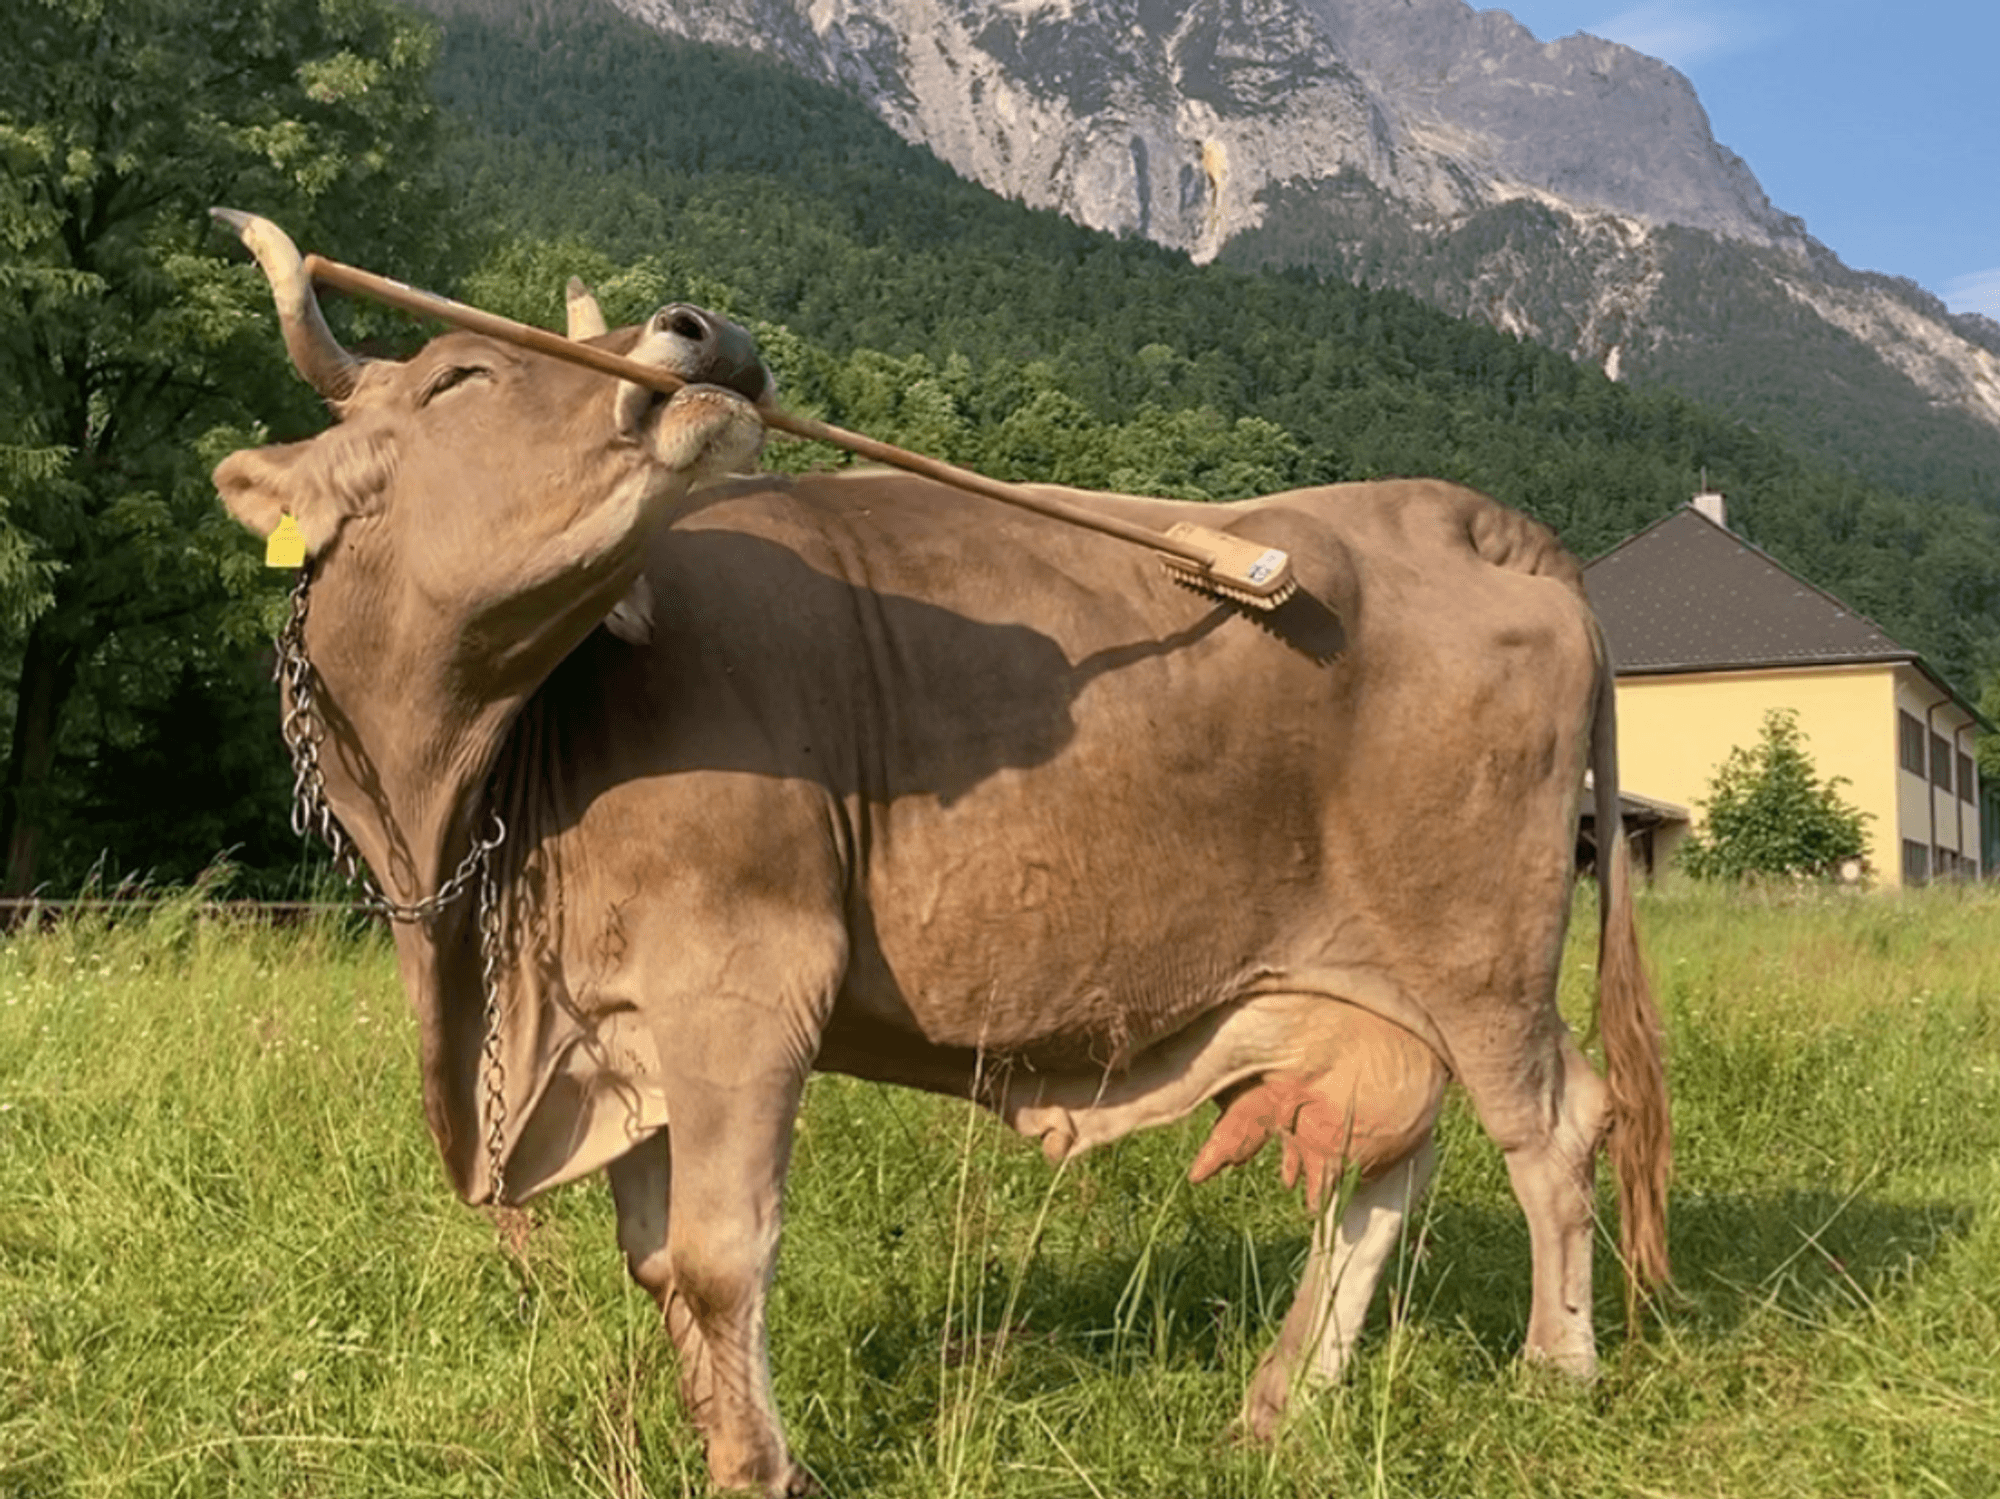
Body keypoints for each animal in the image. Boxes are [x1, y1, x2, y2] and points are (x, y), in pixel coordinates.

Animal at [212, 211, 1668, 1497]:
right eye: (458, 376)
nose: (705, 330)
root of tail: (1457, 513)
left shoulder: (743, 981)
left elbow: (720, 1253)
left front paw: (761, 1469)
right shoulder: (616, 1023)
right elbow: (656, 1259)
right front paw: (714, 1438)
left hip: (1478, 947)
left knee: (1550, 1124)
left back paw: (1555, 1370)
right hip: (1377, 976)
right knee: (1388, 1154)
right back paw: (1282, 1397)